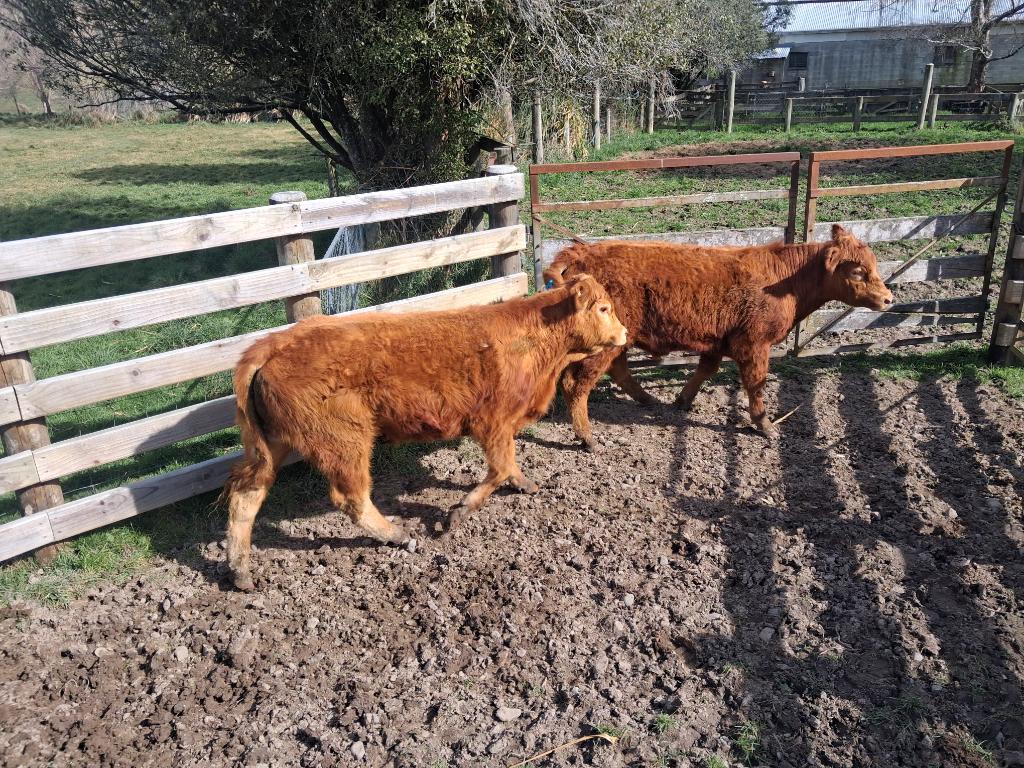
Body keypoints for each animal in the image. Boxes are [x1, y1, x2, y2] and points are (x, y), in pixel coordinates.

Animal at [221, 275, 627, 590]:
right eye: (603, 308)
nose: (624, 333)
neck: (532, 338)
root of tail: (273, 344)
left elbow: (508, 465)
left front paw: (523, 483)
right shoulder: (493, 422)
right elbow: (497, 469)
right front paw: (458, 513)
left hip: (272, 446)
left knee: (247, 496)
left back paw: (240, 570)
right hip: (345, 441)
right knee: (351, 498)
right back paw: (398, 536)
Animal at [543, 225, 893, 451]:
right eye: (858, 271)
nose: (888, 299)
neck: (784, 282)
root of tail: (581, 252)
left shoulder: (718, 342)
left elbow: (705, 370)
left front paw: (682, 400)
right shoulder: (754, 344)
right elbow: (756, 384)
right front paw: (765, 425)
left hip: (620, 339)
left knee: (618, 370)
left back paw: (647, 400)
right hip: (600, 345)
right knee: (577, 383)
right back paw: (587, 438)